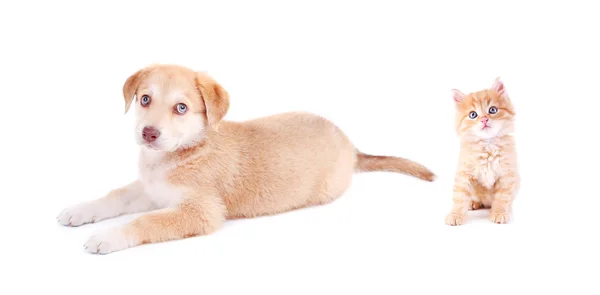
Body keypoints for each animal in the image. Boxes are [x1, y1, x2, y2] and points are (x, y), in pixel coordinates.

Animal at [57, 64, 436, 254]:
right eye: (145, 99)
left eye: (181, 108)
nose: (149, 134)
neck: (181, 153)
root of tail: (349, 144)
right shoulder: (150, 190)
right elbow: (115, 196)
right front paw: (80, 211)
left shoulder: (201, 211)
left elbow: (147, 222)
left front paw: (108, 237)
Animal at [446, 78, 520, 227]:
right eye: (473, 114)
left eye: (492, 110)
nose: (484, 119)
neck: (488, 146)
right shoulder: (464, 173)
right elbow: (460, 196)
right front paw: (455, 214)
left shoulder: (507, 175)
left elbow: (502, 197)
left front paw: (499, 213)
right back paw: (473, 203)